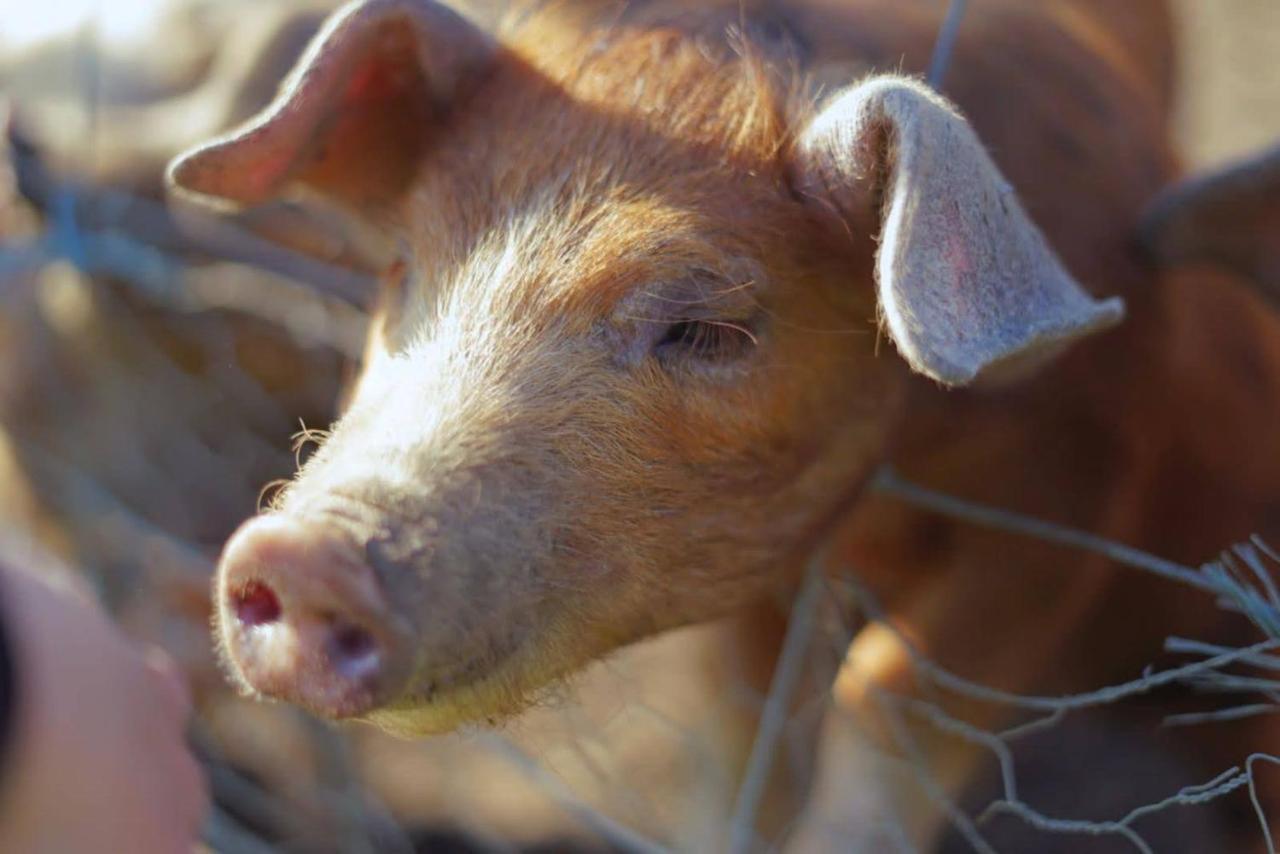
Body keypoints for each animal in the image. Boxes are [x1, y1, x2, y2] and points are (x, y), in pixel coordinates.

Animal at [167, 0, 1280, 850]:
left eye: (704, 328)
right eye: (401, 268)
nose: (304, 554)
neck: (867, 514)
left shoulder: (1075, 487)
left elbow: (891, 690)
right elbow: (746, 726)